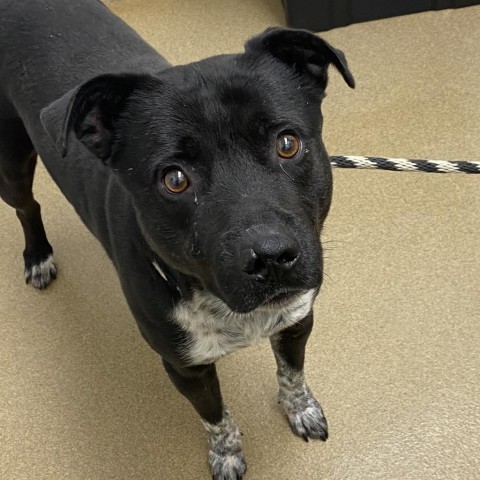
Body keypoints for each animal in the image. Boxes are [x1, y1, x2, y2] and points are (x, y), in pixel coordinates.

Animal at [0, 1, 352, 478]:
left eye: (287, 143)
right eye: (175, 179)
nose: (271, 257)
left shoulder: (297, 319)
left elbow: (292, 374)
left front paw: (301, 409)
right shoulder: (185, 369)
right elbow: (215, 417)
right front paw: (227, 455)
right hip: (11, 164)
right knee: (27, 206)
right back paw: (38, 255)